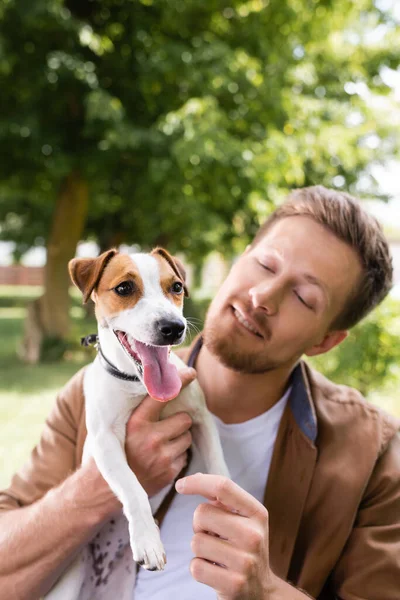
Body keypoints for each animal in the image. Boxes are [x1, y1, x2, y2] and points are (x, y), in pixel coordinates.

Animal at [44, 247, 230, 600]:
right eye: (124, 288)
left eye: (177, 287)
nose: (173, 327)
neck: (139, 385)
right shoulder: (105, 441)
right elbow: (133, 488)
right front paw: (147, 539)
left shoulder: (201, 418)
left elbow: (219, 465)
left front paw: (227, 507)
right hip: (67, 584)